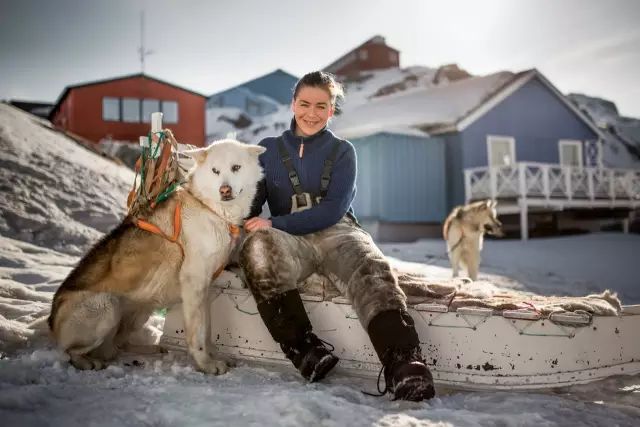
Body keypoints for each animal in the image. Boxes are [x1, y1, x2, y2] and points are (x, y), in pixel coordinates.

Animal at [46, 140, 264, 374]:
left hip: (141, 310)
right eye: (215, 171)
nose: (225, 190)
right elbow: (198, 333)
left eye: (236, 167)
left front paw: (214, 356)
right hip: (107, 307)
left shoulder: (204, 289)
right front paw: (206, 364)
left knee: (118, 344)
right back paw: (87, 362)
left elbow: (206, 331)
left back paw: (147, 349)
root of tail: (51, 319)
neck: (209, 207)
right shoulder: (194, 283)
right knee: (71, 351)